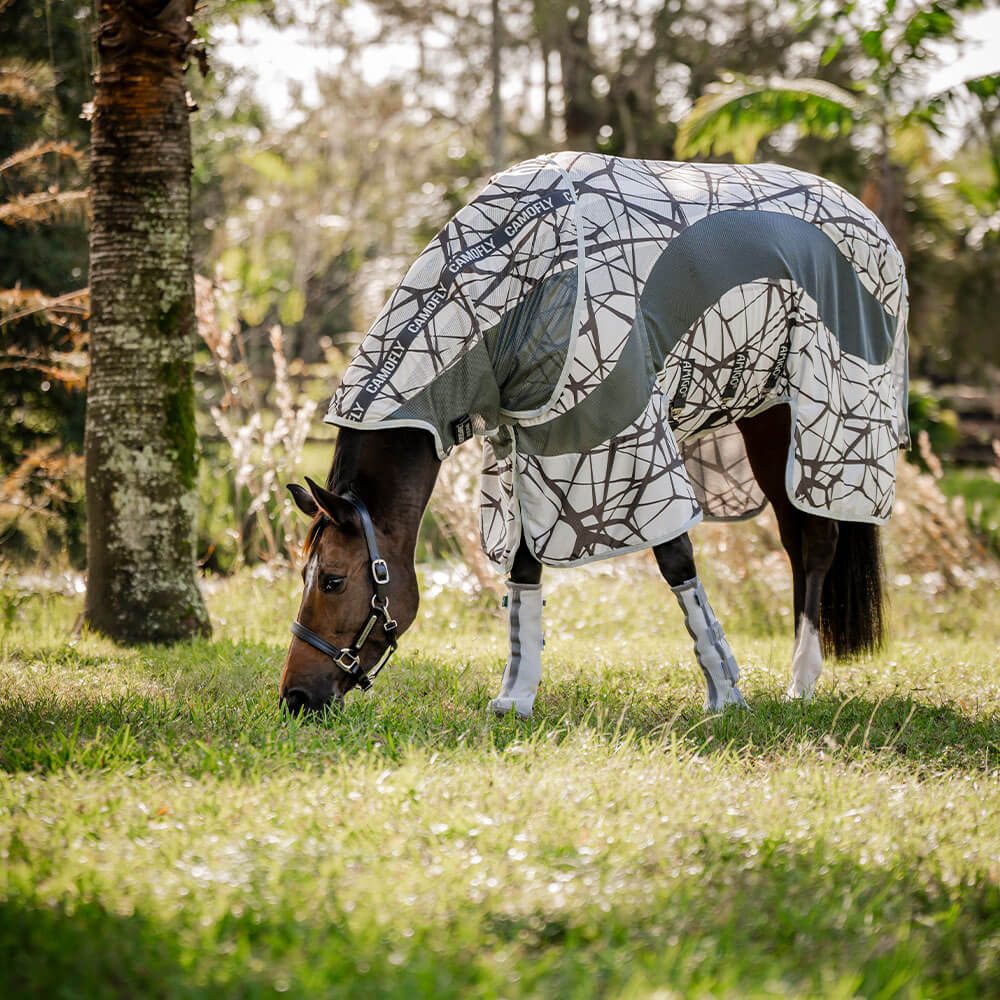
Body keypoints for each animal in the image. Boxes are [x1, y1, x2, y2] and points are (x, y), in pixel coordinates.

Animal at [279, 152, 907, 715]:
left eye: (332, 580)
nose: (295, 697)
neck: (512, 285)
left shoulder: (626, 444)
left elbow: (675, 558)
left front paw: (725, 693)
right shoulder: (526, 447)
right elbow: (524, 567)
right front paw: (516, 696)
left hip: (816, 422)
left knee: (817, 539)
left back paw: (801, 681)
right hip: (764, 414)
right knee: (798, 540)